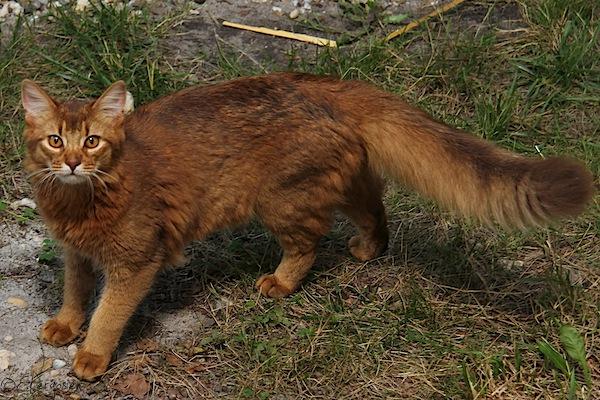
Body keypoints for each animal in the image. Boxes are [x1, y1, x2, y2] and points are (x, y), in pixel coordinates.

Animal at [19, 73, 596, 380]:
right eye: (55, 140)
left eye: (93, 141)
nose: (72, 162)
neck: (77, 203)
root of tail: (321, 82)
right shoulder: (76, 254)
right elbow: (75, 295)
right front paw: (64, 326)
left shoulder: (136, 262)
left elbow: (108, 315)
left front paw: (91, 356)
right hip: (339, 181)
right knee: (375, 208)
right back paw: (368, 249)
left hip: (282, 200)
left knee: (310, 245)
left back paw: (281, 282)